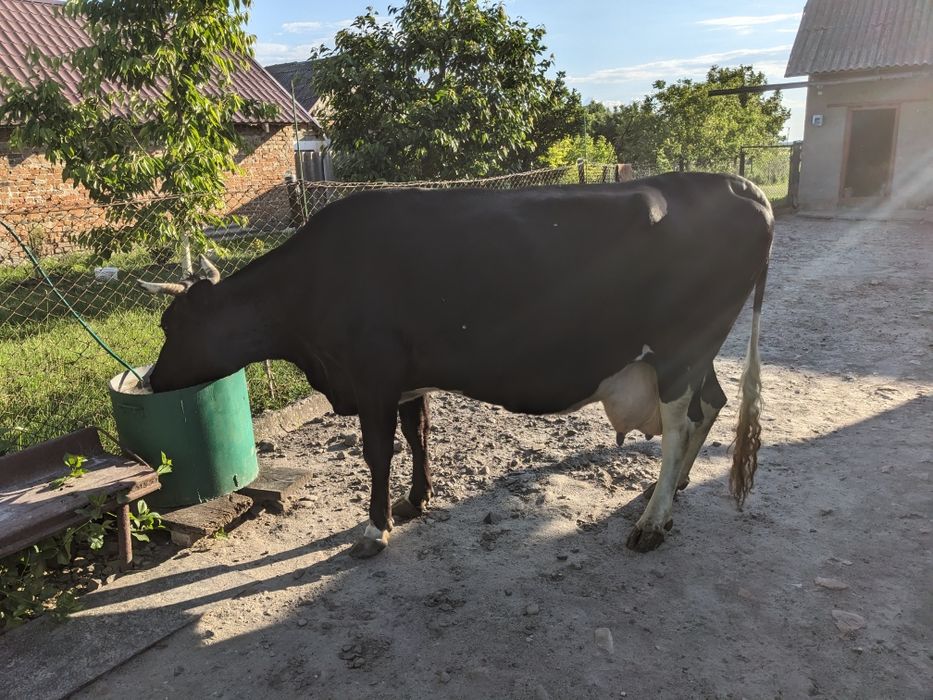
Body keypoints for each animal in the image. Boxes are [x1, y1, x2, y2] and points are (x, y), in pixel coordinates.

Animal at [140, 172, 772, 558]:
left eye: (171, 326)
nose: (150, 381)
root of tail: (739, 186)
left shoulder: (371, 375)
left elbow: (378, 452)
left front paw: (374, 529)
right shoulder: (406, 376)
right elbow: (417, 433)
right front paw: (415, 501)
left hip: (678, 351)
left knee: (681, 425)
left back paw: (653, 521)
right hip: (694, 353)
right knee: (711, 404)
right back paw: (671, 491)